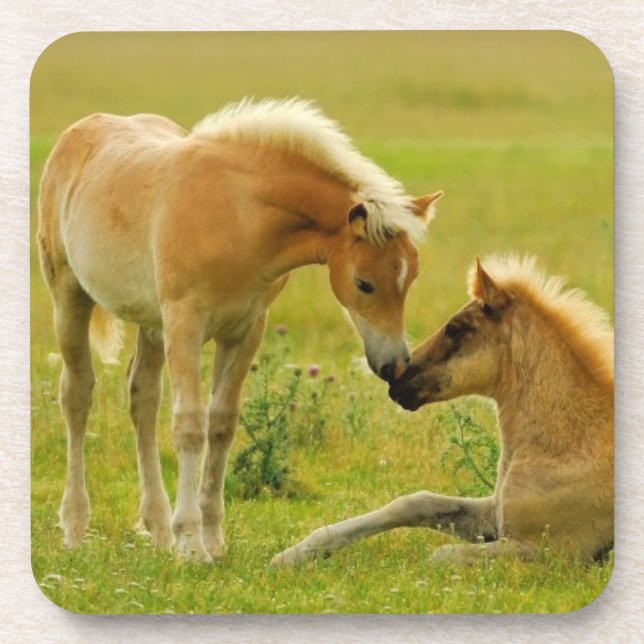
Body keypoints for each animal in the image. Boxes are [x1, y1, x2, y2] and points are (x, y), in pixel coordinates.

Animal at [37, 98, 443, 561]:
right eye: (364, 283)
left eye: (411, 278)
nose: (394, 364)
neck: (238, 215)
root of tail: (80, 131)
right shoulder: (185, 324)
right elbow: (190, 426)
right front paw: (191, 543)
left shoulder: (245, 330)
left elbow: (221, 425)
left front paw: (212, 539)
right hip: (70, 295)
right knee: (77, 394)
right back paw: (75, 526)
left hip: (151, 324)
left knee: (142, 399)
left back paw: (157, 528)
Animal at [271, 254, 613, 566]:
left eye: (455, 328)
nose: (397, 381)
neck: (567, 445)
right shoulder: (493, 515)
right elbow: (414, 504)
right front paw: (291, 555)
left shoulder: (550, 552)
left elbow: (441, 555)